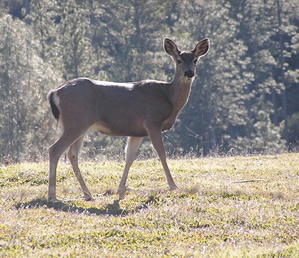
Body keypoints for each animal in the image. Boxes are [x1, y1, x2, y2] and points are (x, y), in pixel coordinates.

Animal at [48, 37, 210, 201]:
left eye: (195, 60)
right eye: (178, 60)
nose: (189, 73)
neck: (169, 98)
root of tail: (54, 92)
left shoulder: (137, 132)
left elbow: (129, 157)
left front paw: (121, 191)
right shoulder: (152, 122)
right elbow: (161, 153)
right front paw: (173, 186)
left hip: (81, 125)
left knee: (72, 154)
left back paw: (88, 195)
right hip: (75, 122)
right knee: (54, 149)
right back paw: (52, 195)